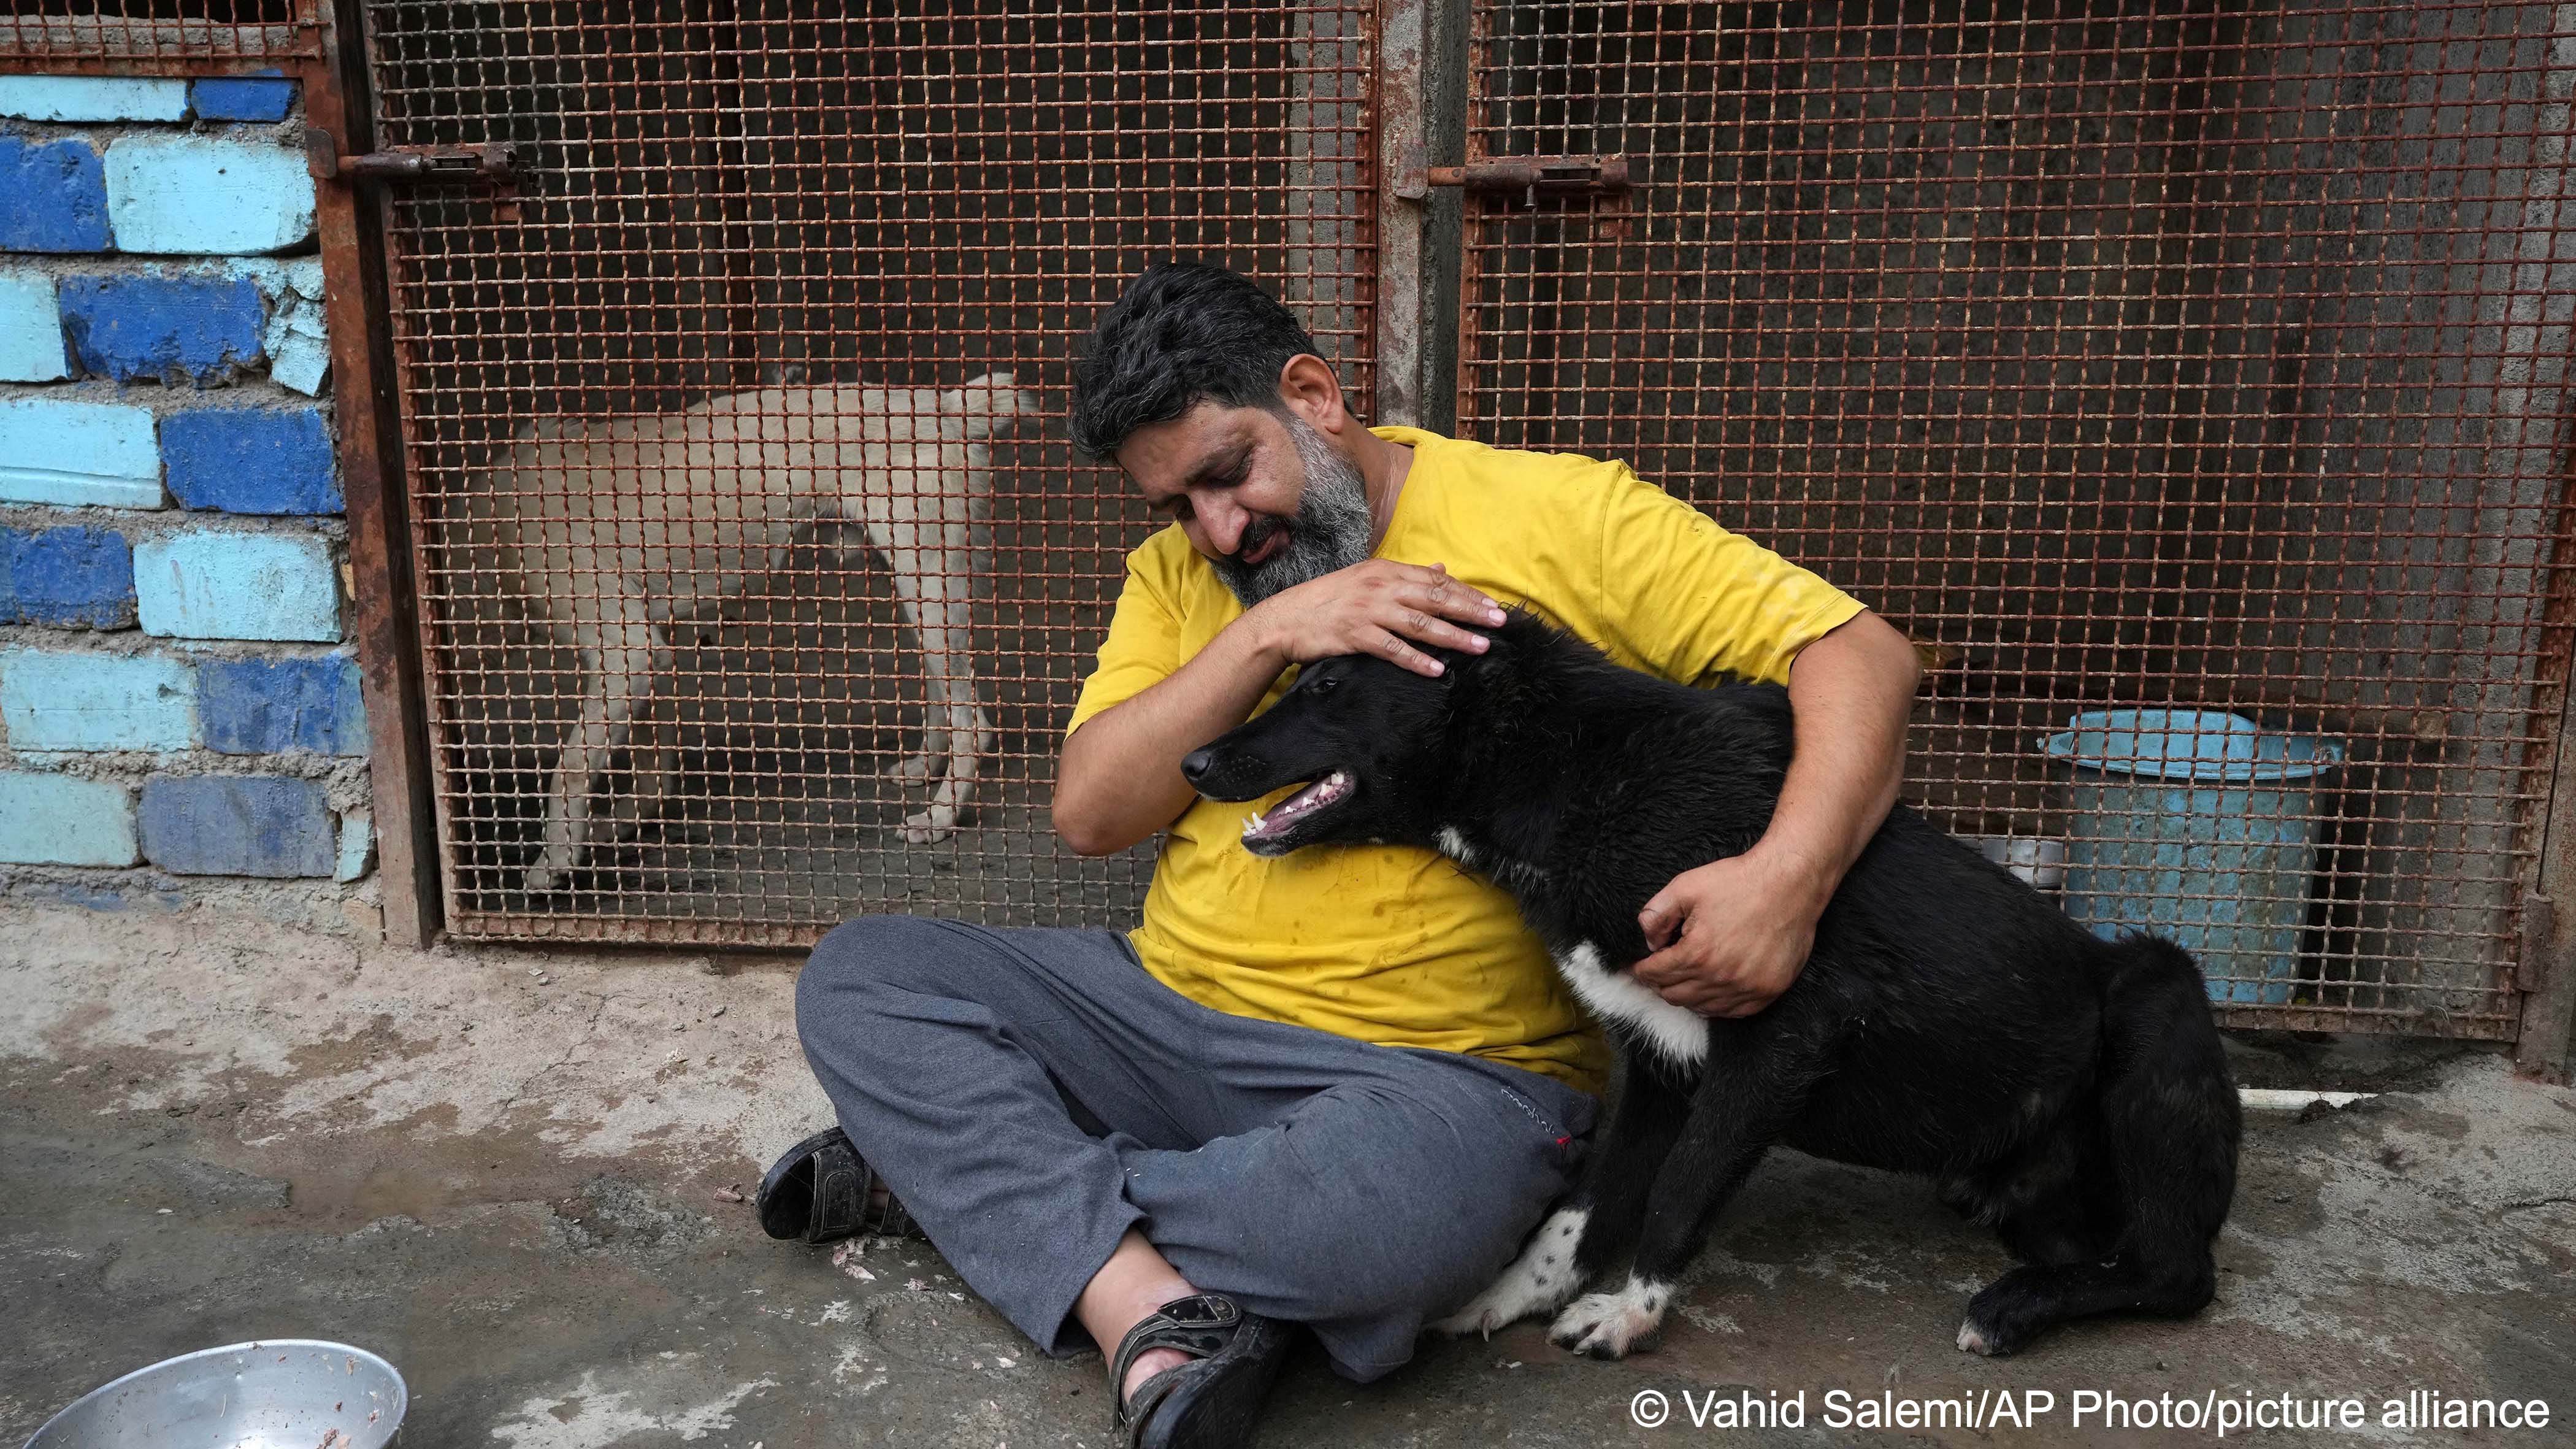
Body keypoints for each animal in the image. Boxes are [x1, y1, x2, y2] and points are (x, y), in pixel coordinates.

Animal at [463, 369, 1035, 892]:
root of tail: (947, 405)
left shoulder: (629, 653)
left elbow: (571, 770)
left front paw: (553, 861)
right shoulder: (651, 656)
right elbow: (651, 773)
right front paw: (617, 826)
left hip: (928, 584)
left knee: (973, 722)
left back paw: (940, 817)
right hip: (917, 589)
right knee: (943, 691)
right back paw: (923, 767)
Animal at [1179, 611, 2236, 1351]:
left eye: (1326, 683)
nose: (1191, 757)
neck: (1575, 776)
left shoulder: (1785, 1035)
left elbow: (1679, 1189)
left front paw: (1631, 1314)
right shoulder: (1655, 1056)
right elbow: (1582, 1207)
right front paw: (1516, 1295)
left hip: (2157, 991)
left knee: (2179, 1274)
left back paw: (2013, 1308)